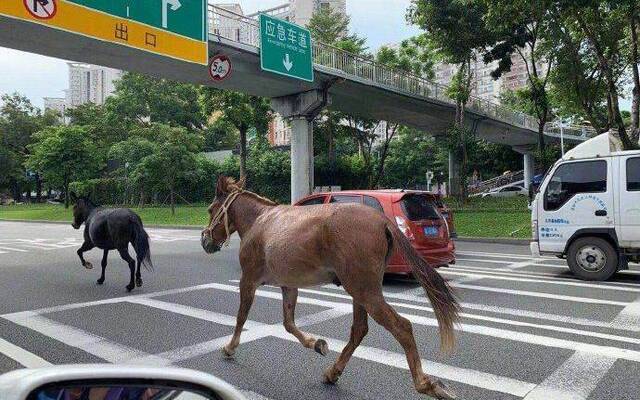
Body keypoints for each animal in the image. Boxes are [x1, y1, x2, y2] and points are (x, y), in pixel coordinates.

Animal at [202, 178, 458, 400]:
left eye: (211, 209)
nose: (205, 241)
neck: (260, 222)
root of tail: (382, 220)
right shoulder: (288, 284)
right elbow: (288, 323)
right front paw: (316, 344)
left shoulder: (248, 279)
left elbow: (241, 318)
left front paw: (230, 347)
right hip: (359, 291)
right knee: (359, 330)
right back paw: (333, 371)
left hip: (365, 291)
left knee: (401, 326)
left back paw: (425, 384)